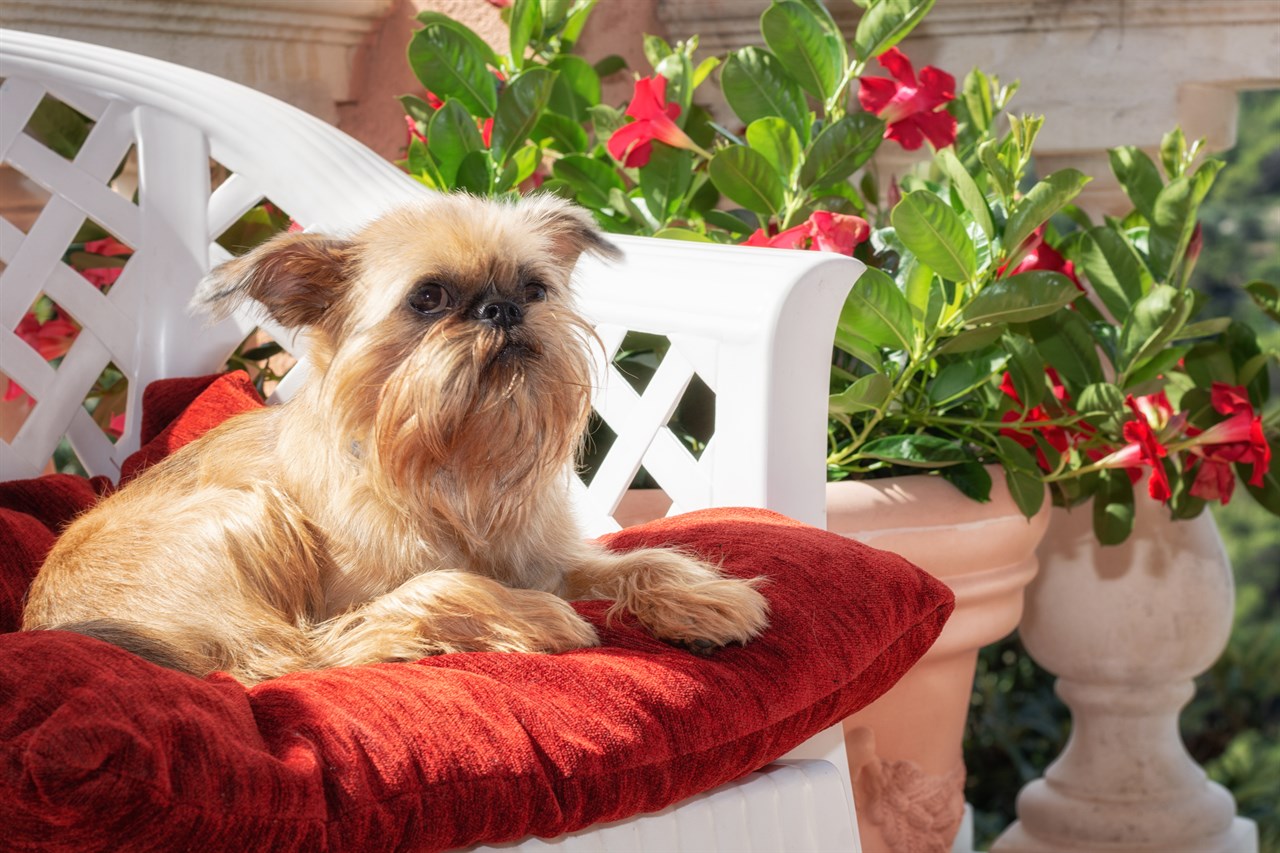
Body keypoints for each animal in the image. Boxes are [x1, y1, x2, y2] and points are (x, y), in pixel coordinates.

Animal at [22, 194, 768, 686]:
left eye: (535, 288)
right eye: (429, 297)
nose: (501, 308)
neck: (453, 464)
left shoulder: (543, 557)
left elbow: (638, 558)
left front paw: (704, 596)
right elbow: (438, 585)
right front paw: (535, 614)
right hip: (247, 512)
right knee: (297, 656)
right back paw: (516, 623)